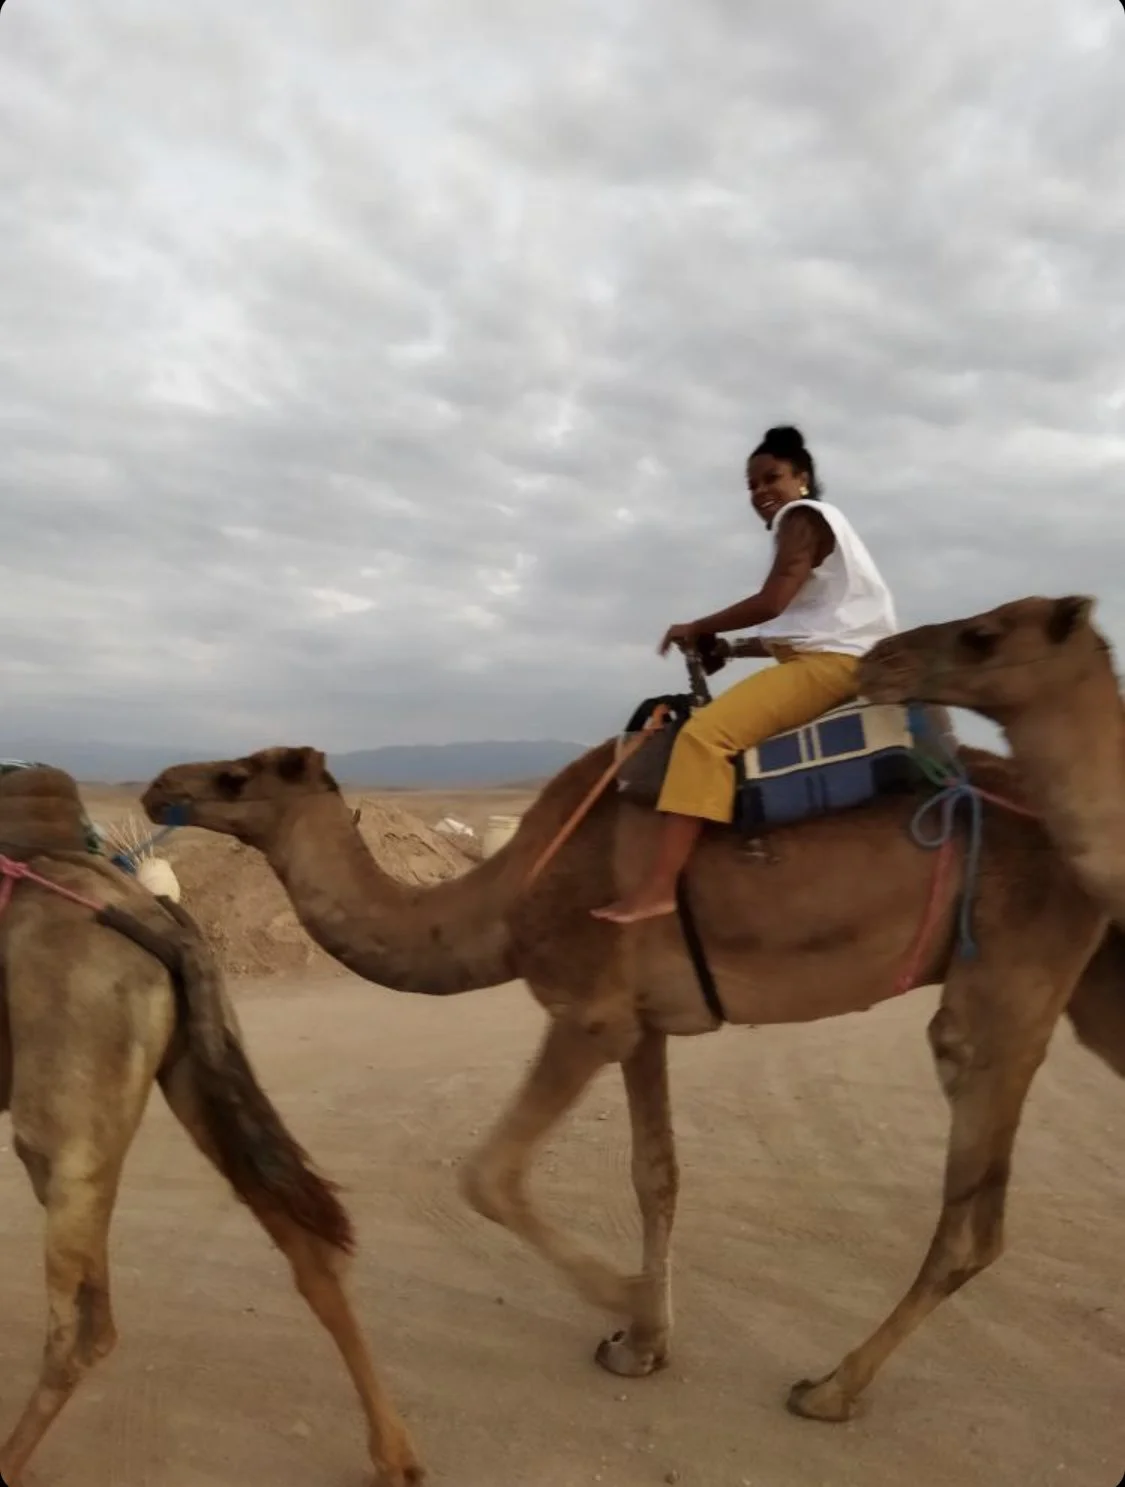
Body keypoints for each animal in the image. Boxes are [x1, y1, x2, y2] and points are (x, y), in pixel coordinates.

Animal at [0, 765, 422, 1486]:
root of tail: (148, 913)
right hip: (199, 1064)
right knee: (307, 1246)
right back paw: (394, 1456)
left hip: (64, 1117)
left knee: (79, 1329)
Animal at [140, 729, 1125, 1427]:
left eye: (239, 775)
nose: (160, 784)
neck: (504, 898)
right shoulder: (645, 1024)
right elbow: (656, 1174)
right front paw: (643, 1341)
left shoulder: (588, 1012)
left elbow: (488, 1175)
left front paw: (624, 1299)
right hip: (1090, 982)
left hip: (1006, 978)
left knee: (971, 1217)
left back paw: (831, 1387)